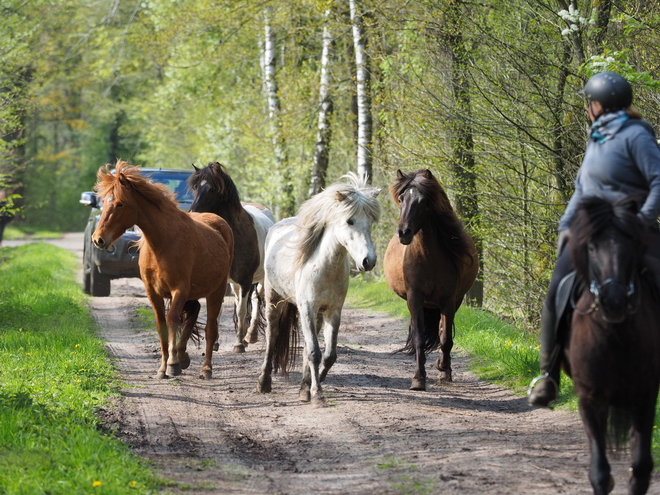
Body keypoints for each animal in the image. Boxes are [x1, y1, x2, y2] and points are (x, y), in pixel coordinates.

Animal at [93, 161, 235, 382]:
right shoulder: (153, 292)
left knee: (210, 328)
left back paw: (206, 369)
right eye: (103, 202)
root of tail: (221, 224)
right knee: (194, 312)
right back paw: (183, 355)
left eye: (120, 204)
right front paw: (162, 367)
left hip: (216, 291)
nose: (98, 239)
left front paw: (172, 364)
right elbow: (162, 325)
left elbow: (172, 320)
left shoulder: (179, 290)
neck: (162, 242)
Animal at [188, 163, 276, 352]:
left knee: (256, 299)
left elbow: (243, 310)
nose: (192, 213)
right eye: (196, 187)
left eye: (212, 189)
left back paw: (249, 336)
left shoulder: (245, 280)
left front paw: (238, 344)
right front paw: (214, 342)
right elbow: (218, 310)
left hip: (260, 279)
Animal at [256, 174, 382, 406]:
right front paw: (317, 394)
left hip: (316, 315)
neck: (325, 268)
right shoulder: (307, 307)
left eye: (370, 222)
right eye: (350, 221)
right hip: (273, 301)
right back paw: (264, 382)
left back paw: (304, 386)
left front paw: (316, 382)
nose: (368, 261)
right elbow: (314, 352)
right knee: (272, 336)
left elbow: (329, 355)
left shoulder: (333, 311)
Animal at [382, 170, 480, 392]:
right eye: (401, 198)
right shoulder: (415, 299)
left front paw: (444, 370)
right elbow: (419, 339)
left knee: (444, 332)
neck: (429, 258)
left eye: (423, 201)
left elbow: (445, 339)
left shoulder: (449, 301)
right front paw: (418, 378)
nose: (403, 233)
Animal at [564, 196, 660, 494]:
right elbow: (600, 472)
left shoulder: (645, 396)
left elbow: (641, 468)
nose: (614, 301)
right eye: (592, 247)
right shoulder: (589, 397)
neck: (615, 336)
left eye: (631, 244)